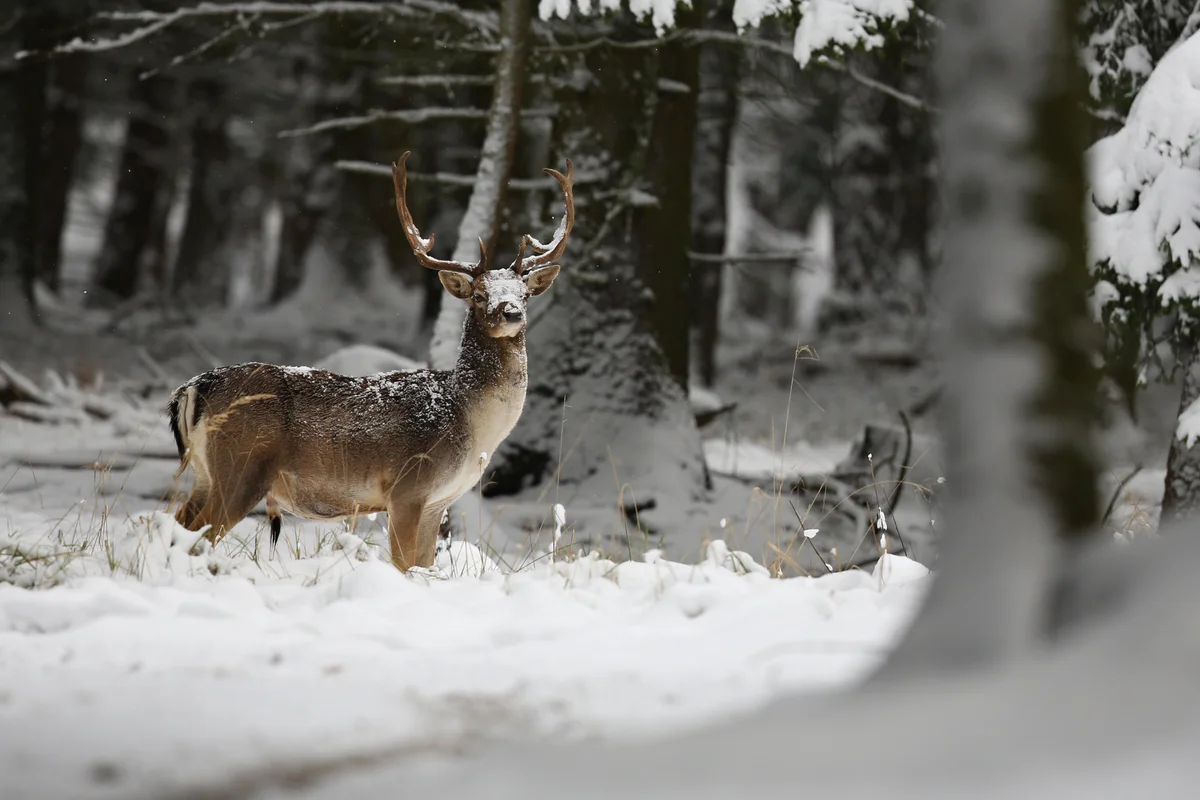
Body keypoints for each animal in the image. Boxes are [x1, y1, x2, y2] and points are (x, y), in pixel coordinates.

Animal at [166, 151, 574, 572]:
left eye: (524, 293)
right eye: (478, 295)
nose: (511, 313)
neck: (470, 422)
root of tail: (195, 387)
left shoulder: (438, 502)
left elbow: (424, 564)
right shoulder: (407, 487)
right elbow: (404, 566)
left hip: (206, 473)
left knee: (177, 527)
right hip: (241, 467)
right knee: (198, 536)